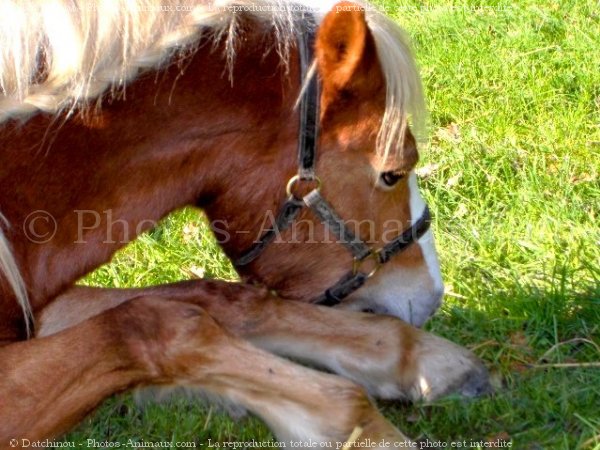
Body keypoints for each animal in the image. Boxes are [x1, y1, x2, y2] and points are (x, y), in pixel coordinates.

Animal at [0, 0, 488, 442]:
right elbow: (155, 322)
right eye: (392, 173)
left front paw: (414, 355)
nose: (431, 295)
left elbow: (212, 297)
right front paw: (355, 425)